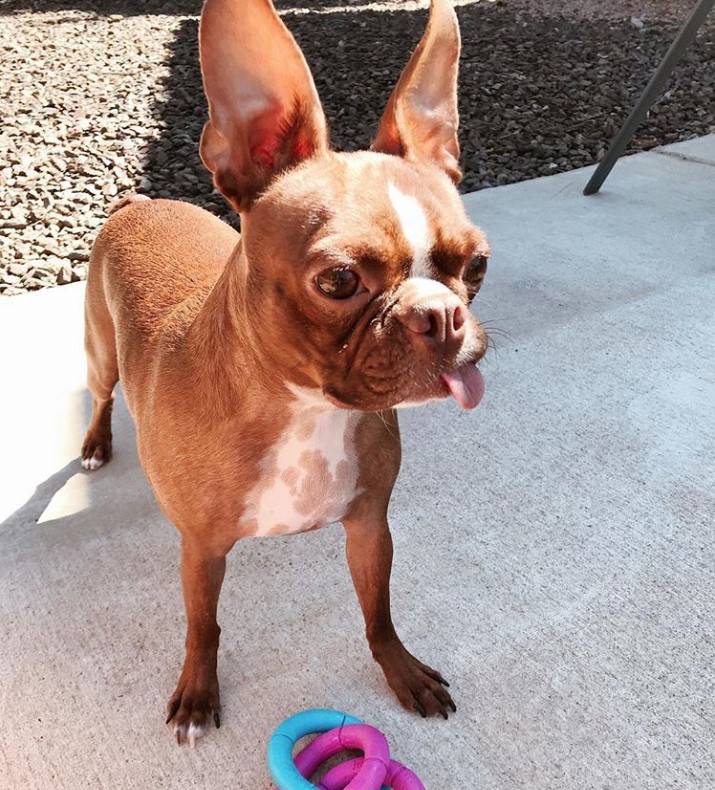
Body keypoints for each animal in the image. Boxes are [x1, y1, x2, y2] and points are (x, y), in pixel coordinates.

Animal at [79, 0, 492, 748]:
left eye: (475, 265)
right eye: (339, 280)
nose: (441, 314)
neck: (304, 411)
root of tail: (138, 203)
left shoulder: (369, 527)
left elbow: (378, 612)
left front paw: (402, 672)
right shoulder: (200, 550)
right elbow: (202, 626)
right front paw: (197, 695)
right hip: (99, 354)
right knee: (99, 395)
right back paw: (95, 445)